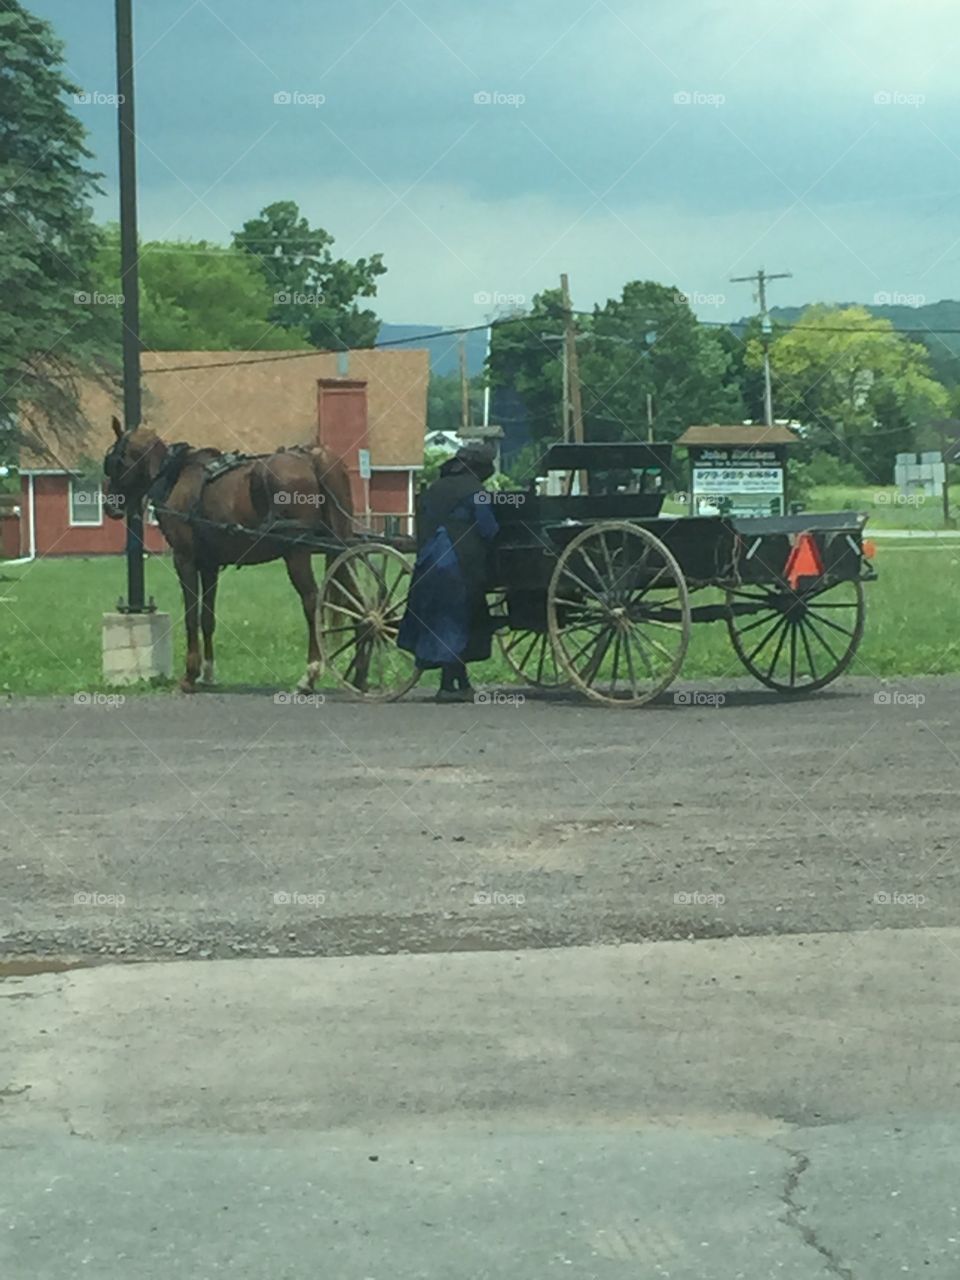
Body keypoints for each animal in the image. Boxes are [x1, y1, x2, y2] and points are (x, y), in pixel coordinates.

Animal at [102, 417, 358, 691]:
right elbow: (207, 617)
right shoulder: (209, 565)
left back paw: (310, 674)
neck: (174, 475)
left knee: (312, 602)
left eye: (113, 460)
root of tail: (312, 458)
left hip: (296, 552)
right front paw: (207, 673)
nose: (109, 506)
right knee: (353, 596)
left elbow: (191, 615)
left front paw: (190, 675)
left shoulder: (185, 558)